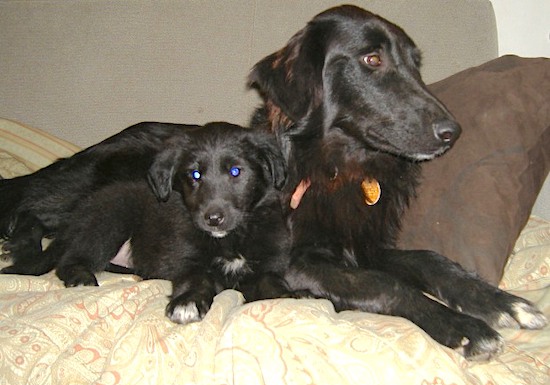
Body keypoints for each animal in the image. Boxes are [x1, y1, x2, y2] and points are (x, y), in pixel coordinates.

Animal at [48, 123, 294, 320]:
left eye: (235, 171)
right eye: (195, 174)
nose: (213, 219)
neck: (229, 240)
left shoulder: (267, 265)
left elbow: (270, 282)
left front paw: (287, 296)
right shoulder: (185, 258)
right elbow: (196, 279)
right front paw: (188, 302)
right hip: (109, 221)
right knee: (71, 258)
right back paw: (80, 277)